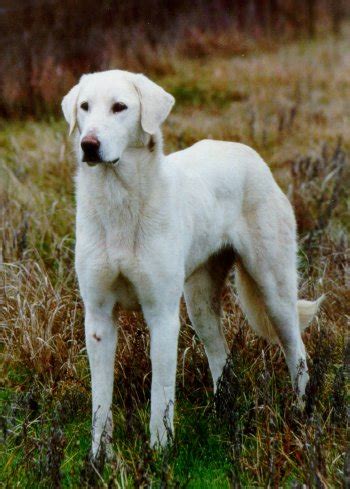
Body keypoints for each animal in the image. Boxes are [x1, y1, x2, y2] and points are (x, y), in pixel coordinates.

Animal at [61, 68, 322, 458]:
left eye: (120, 107)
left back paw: (300, 414)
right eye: (85, 107)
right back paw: (223, 414)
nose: (89, 145)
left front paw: (159, 454)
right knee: (221, 356)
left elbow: (161, 398)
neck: (119, 202)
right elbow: (101, 402)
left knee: (297, 351)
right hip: (199, 304)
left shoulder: (162, 316)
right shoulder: (98, 317)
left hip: (274, 292)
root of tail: (248, 153)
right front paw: (99, 459)